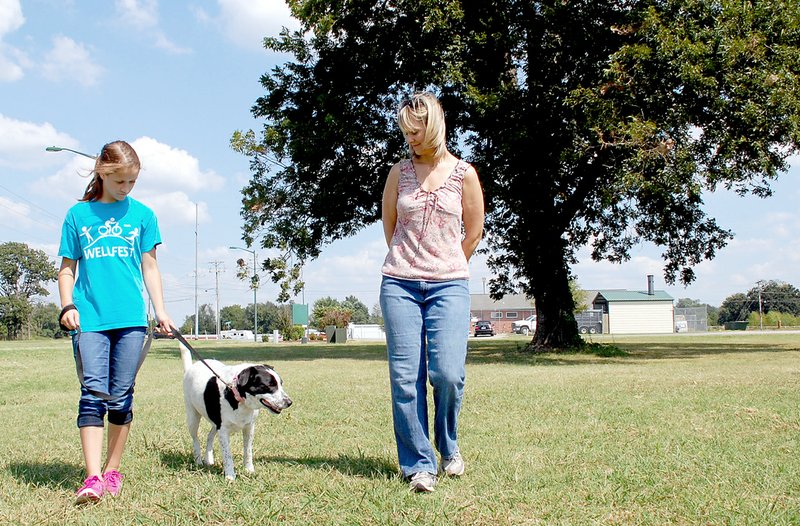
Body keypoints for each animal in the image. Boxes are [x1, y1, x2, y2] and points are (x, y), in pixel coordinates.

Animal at [180, 342, 292, 482]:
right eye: (269, 385)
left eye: (281, 384)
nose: (289, 402)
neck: (235, 393)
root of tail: (190, 367)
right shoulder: (223, 430)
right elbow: (227, 455)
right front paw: (230, 476)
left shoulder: (249, 427)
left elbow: (248, 451)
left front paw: (249, 470)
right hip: (193, 417)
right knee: (195, 439)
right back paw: (198, 461)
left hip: (215, 422)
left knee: (209, 436)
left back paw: (209, 459)